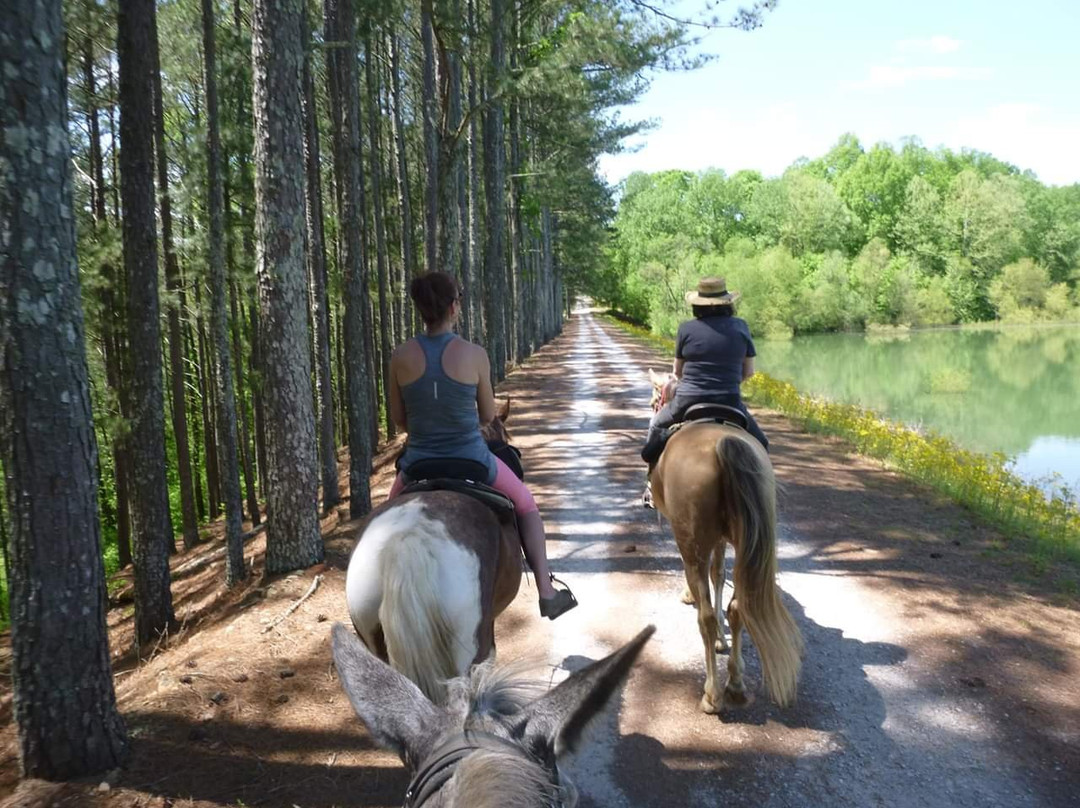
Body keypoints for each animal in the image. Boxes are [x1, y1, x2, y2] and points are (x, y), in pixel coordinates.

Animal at [647, 370, 803, 712]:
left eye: (654, 402)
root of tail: (724, 444)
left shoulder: (694, 541)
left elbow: (706, 581)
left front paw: (690, 597)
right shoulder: (720, 540)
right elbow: (718, 575)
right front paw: (722, 637)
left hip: (693, 542)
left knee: (703, 615)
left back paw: (712, 694)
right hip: (745, 542)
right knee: (739, 607)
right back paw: (736, 684)